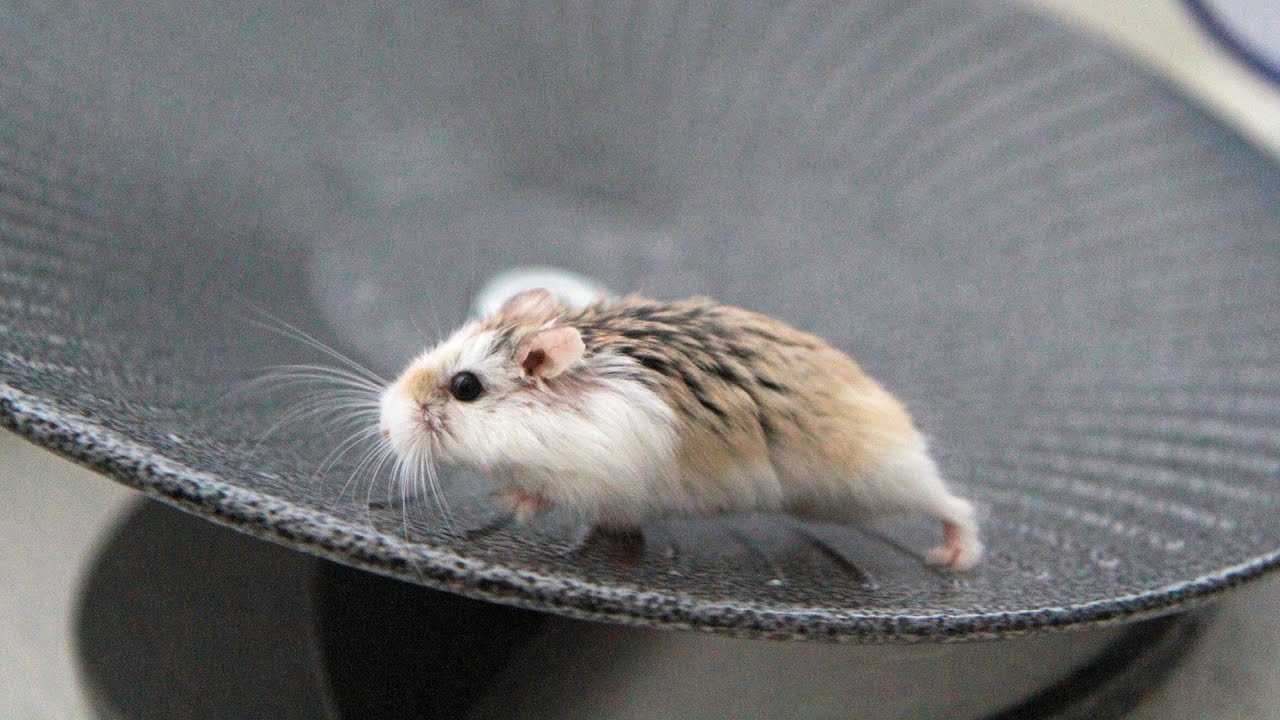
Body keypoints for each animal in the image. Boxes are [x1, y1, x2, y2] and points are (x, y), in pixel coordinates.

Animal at [379, 289, 983, 571]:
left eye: (465, 387)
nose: (384, 428)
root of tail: (893, 415)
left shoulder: (599, 472)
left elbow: (545, 491)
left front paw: (509, 500)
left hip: (873, 482)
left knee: (954, 503)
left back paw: (951, 556)